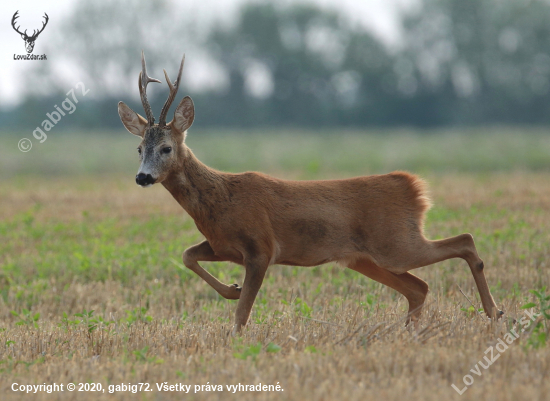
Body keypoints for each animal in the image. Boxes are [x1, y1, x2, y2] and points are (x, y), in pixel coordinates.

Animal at [119, 54, 504, 332]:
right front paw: (232, 289)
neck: (220, 201)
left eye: (166, 148)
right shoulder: (223, 246)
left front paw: (236, 330)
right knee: (419, 287)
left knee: (465, 241)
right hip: (366, 257)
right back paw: (409, 332)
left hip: (395, 243)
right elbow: (187, 255)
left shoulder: (261, 248)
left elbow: (242, 315)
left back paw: (494, 312)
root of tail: (413, 187)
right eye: (139, 149)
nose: (142, 177)